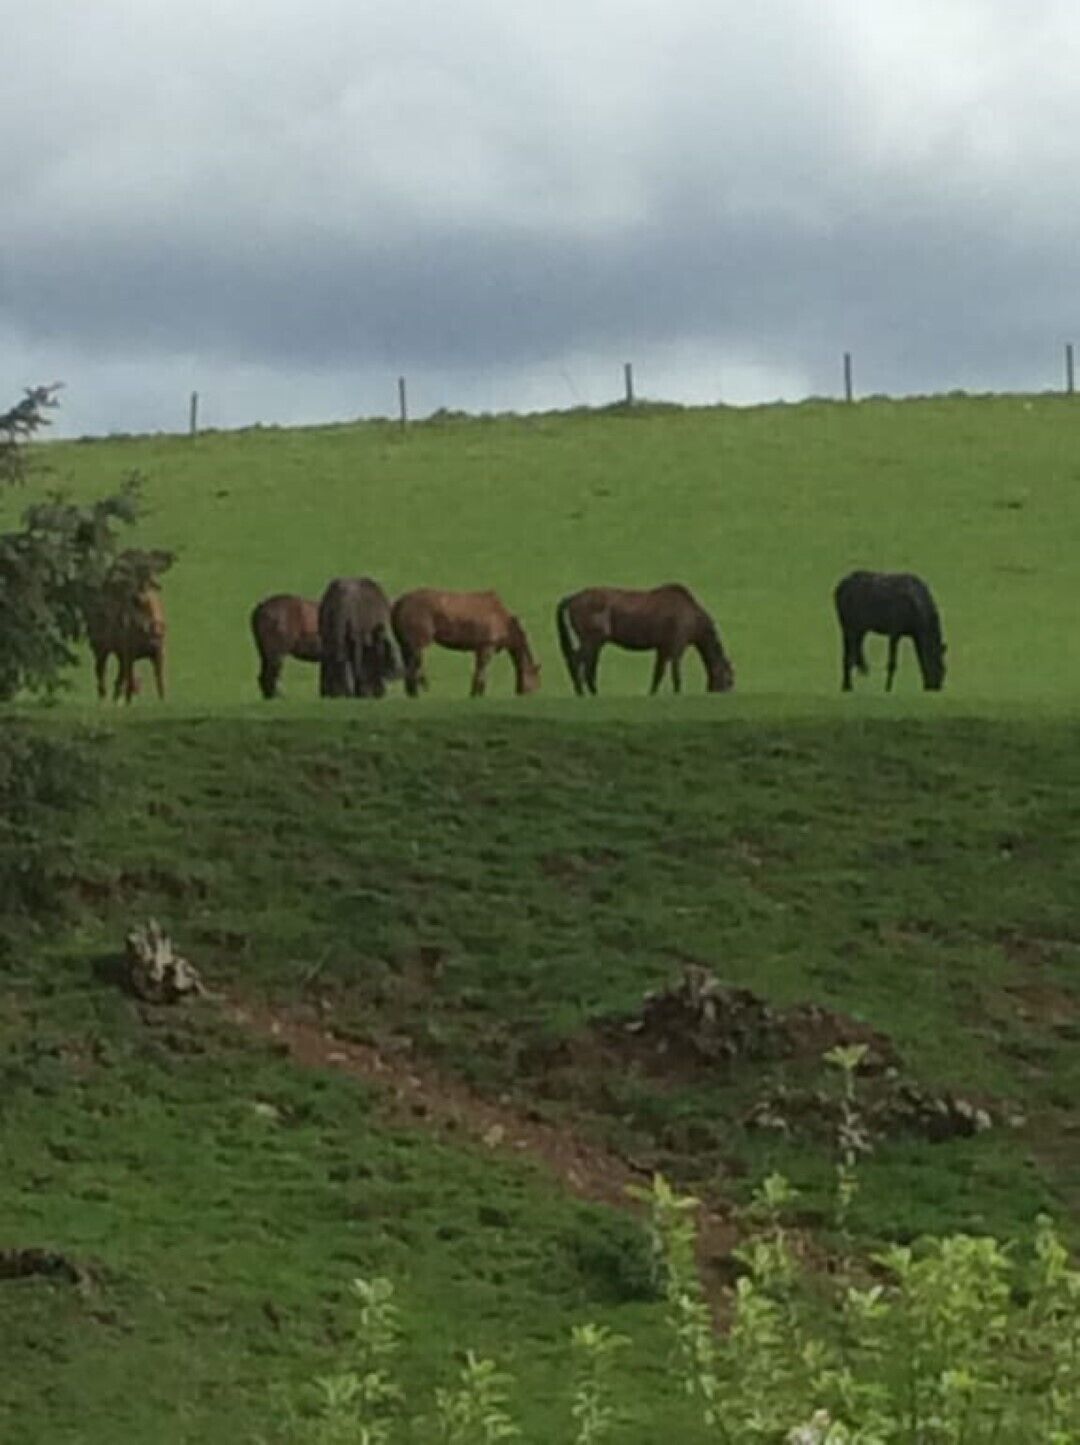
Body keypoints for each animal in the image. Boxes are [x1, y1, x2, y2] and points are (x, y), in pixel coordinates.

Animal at [391, 589, 541, 698]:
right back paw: (416, 694)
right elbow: (481, 671)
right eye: (535, 677)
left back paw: (411, 694)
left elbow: (481, 671)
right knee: (414, 667)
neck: (504, 622)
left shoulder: (481, 649)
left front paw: (477, 693)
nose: (529, 694)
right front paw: (476, 693)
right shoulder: (486, 647)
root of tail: (399, 603)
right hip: (417, 646)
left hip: (406, 645)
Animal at [555, 584, 734, 696]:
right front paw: (677, 693)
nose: (725, 694)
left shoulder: (663, 648)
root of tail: (573, 598)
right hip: (590, 640)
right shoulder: (677, 646)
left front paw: (652, 693)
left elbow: (658, 673)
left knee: (588, 667)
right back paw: (581, 692)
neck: (691, 615)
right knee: (577, 661)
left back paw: (592, 693)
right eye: (729, 680)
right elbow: (675, 673)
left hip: (596, 643)